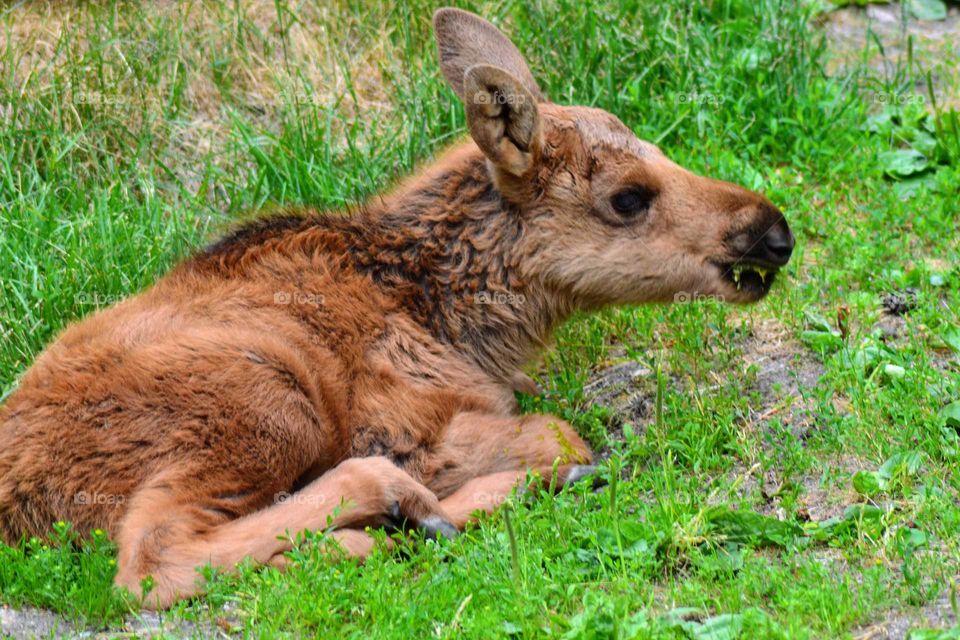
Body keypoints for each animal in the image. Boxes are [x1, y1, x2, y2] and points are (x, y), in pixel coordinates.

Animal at [0, 7, 792, 608]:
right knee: (150, 562)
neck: (455, 320)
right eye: (628, 197)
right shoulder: (402, 423)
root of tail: (18, 503)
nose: (774, 232)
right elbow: (558, 432)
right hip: (263, 396)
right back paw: (398, 518)